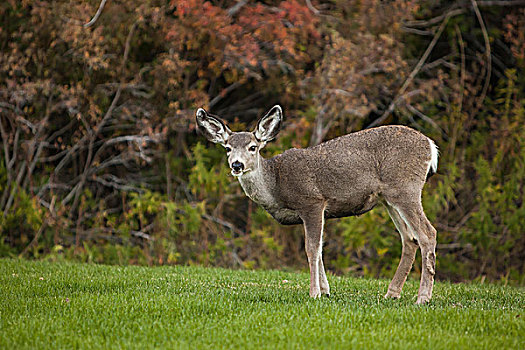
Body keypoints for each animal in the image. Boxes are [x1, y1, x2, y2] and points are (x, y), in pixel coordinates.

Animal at [194, 104, 436, 304]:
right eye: (227, 148)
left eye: (253, 147)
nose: (237, 165)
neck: (276, 185)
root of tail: (430, 146)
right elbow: (319, 249)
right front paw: (326, 290)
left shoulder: (312, 202)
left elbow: (312, 248)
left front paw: (314, 293)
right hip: (388, 198)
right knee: (409, 239)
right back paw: (391, 294)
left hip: (405, 187)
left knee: (427, 233)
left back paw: (422, 298)